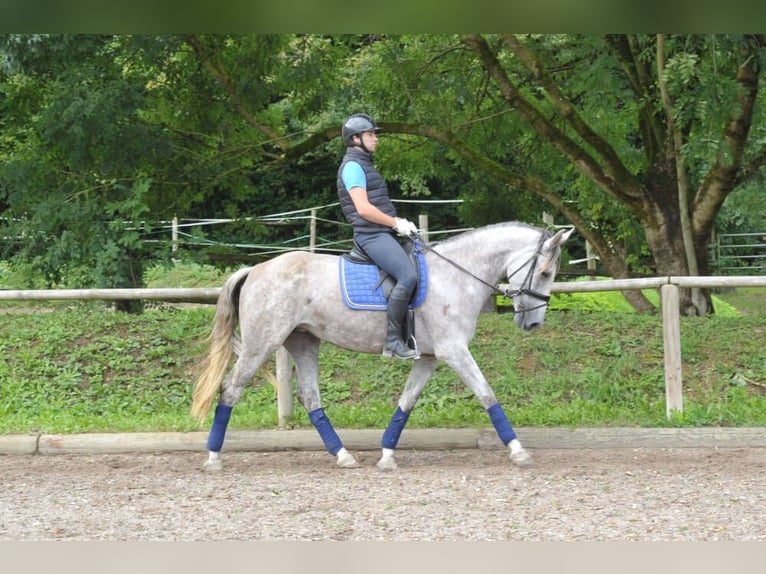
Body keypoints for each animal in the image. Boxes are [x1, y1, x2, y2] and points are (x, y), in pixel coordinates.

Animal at [192, 223, 576, 470]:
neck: (457, 276)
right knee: (230, 390)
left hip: (303, 342)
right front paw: (518, 451)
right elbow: (487, 394)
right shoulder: (453, 351)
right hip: (262, 343)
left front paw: (387, 455)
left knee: (311, 399)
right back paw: (213, 458)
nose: (533, 323)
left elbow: (407, 401)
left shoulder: (431, 357)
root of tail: (256, 269)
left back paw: (343, 456)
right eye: (545, 272)